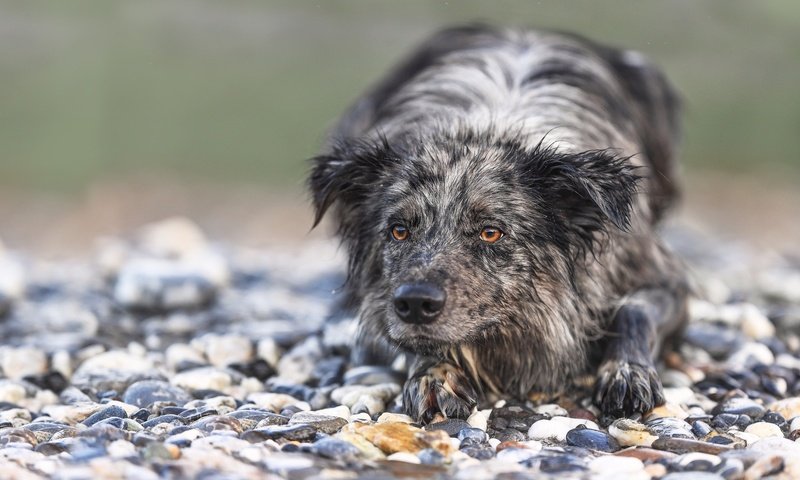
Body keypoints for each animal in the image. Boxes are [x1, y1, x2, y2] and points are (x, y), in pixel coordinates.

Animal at [306, 25, 688, 424]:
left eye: (491, 232)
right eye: (399, 230)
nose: (415, 303)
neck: (489, 128)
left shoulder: (664, 277)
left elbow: (634, 309)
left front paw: (626, 372)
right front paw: (433, 373)